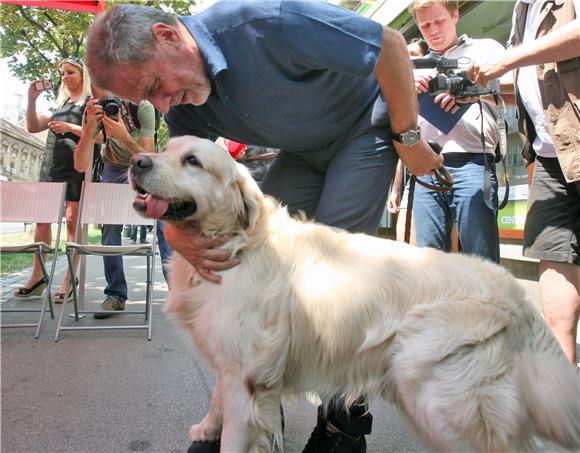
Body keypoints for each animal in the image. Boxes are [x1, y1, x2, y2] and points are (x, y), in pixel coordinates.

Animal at [129, 136, 576, 450]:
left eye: (193, 161)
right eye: (166, 148)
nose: (137, 161)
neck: (237, 242)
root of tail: (515, 295)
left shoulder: (246, 376)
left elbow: (234, 435)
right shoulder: (231, 360)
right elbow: (217, 400)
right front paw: (206, 429)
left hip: (441, 400)